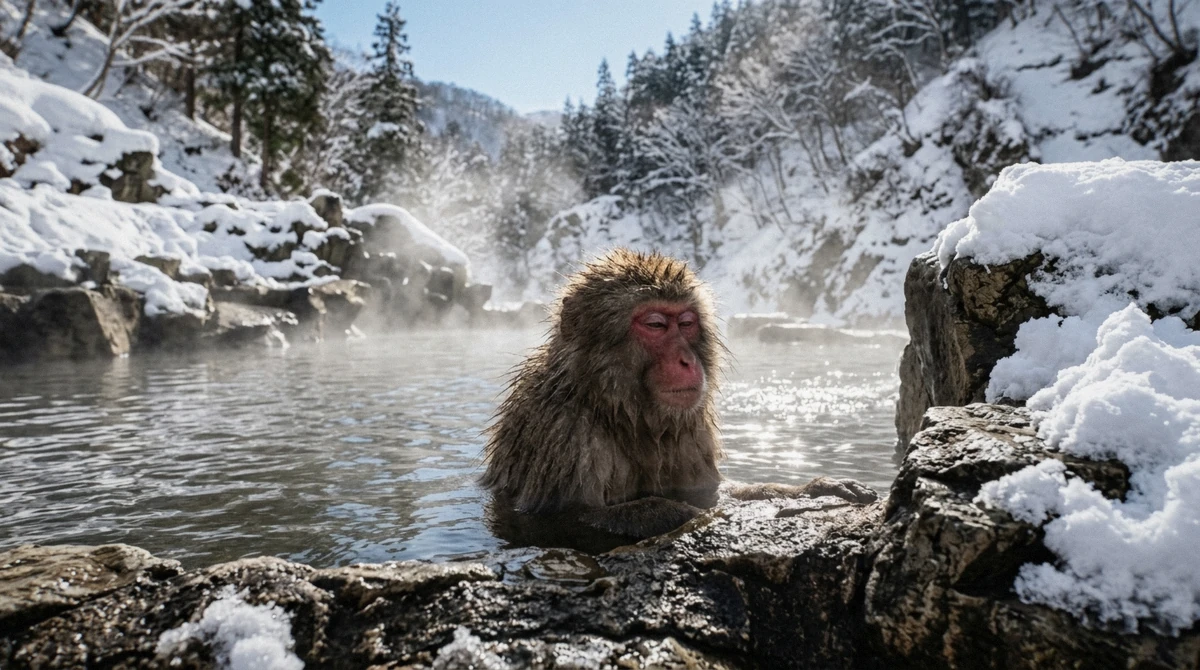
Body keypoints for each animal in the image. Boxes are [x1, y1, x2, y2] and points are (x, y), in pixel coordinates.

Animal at [480, 248, 876, 541]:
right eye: (656, 324)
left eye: (686, 323)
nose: (687, 360)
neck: (615, 407)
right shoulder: (562, 432)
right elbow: (562, 517)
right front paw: (696, 514)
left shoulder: (691, 426)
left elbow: (709, 487)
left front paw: (814, 488)